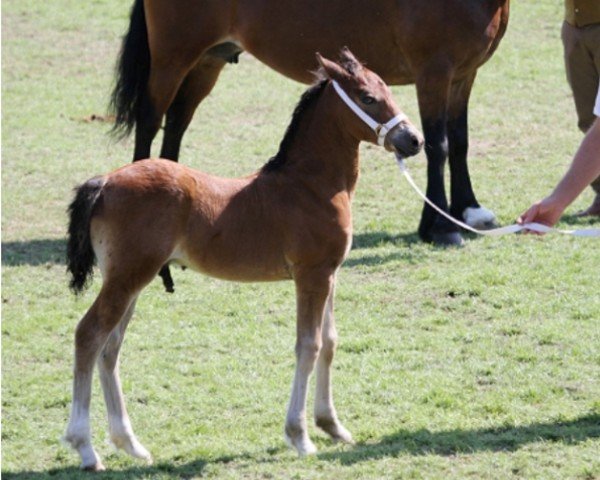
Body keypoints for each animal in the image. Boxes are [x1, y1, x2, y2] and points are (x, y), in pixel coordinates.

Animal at [64, 50, 422, 470]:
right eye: (367, 97)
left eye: (386, 88)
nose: (413, 140)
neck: (309, 185)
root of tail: (104, 181)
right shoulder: (312, 276)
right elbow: (309, 345)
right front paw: (300, 437)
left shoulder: (330, 274)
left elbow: (330, 342)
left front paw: (332, 426)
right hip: (127, 278)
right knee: (89, 335)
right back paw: (85, 448)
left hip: (130, 279)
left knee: (110, 347)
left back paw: (131, 444)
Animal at [110, 0, 508, 246]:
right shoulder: (434, 74)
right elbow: (439, 146)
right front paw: (440, 227)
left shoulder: (463, 76)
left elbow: (459, 141)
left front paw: (468, 210)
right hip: (173, 58)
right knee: (151, 119)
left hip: (209, 59)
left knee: (177, 121)